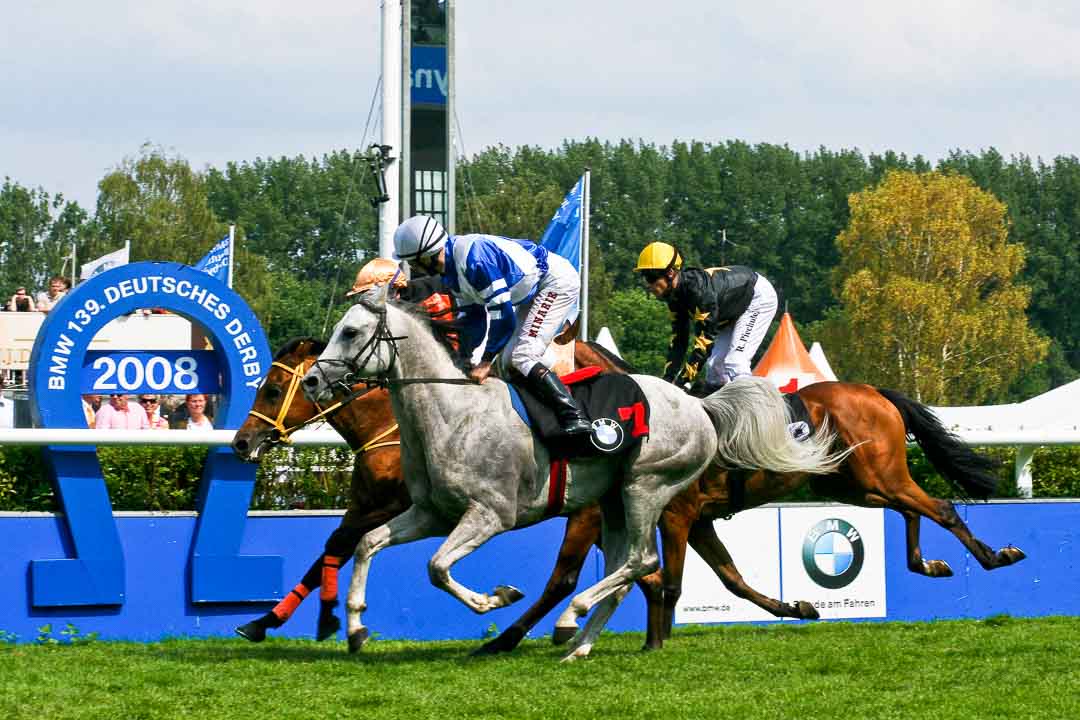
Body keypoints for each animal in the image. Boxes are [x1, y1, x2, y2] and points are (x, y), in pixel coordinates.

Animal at [299, 290, 845, 660]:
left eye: (350, 332)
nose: (312, 381)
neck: (451, 413)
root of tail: (699, 405)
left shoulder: (488, 515)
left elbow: (436, 567)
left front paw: (496, 597)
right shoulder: (432, 512)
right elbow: (368, 543)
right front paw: (355, 627)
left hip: (645, 488)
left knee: (641, 562)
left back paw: (574, 616)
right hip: (613, 502)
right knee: (629, 571)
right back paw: (579, 645)